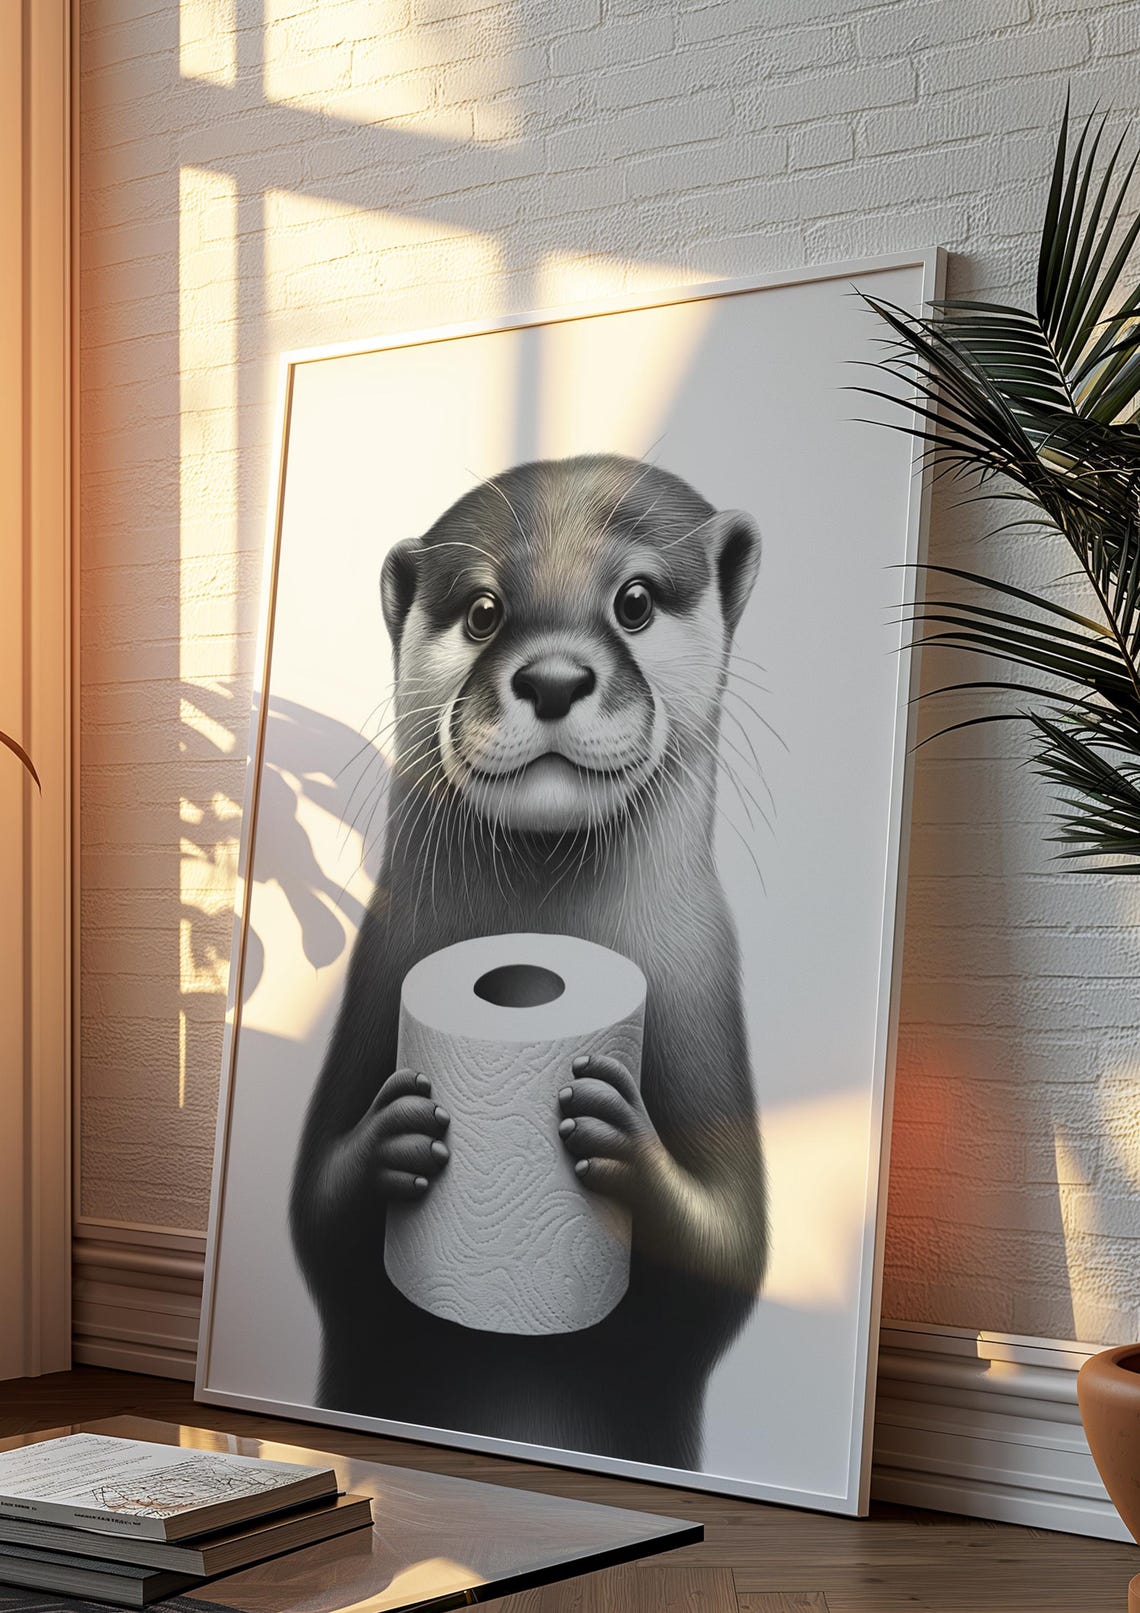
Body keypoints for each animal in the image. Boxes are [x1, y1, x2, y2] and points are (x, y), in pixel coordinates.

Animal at [290, 454, 768, 1472]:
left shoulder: (706, 1004)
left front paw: (618, 1132)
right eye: (482, 610)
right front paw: (395, 1131)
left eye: (634, 600)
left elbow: (728, 1260)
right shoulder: (373, 986)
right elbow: (318, 1226)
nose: (552, 676)